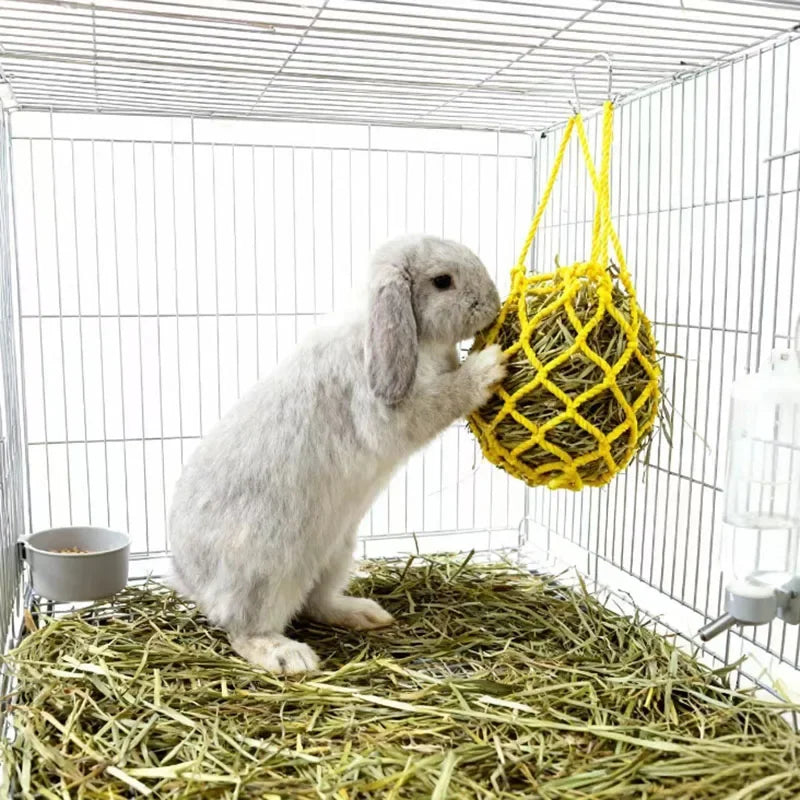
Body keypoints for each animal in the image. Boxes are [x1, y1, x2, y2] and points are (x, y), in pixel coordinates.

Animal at [168, 234, 506, 675]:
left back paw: (366, 614)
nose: (493, 304)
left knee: (315, 603)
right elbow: (446, 397)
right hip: (265, 573)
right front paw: (489, 364)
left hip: (336, 552)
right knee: (244, 629)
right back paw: (288, 656)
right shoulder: (394, 411)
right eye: (443, 281)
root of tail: (188, 576)